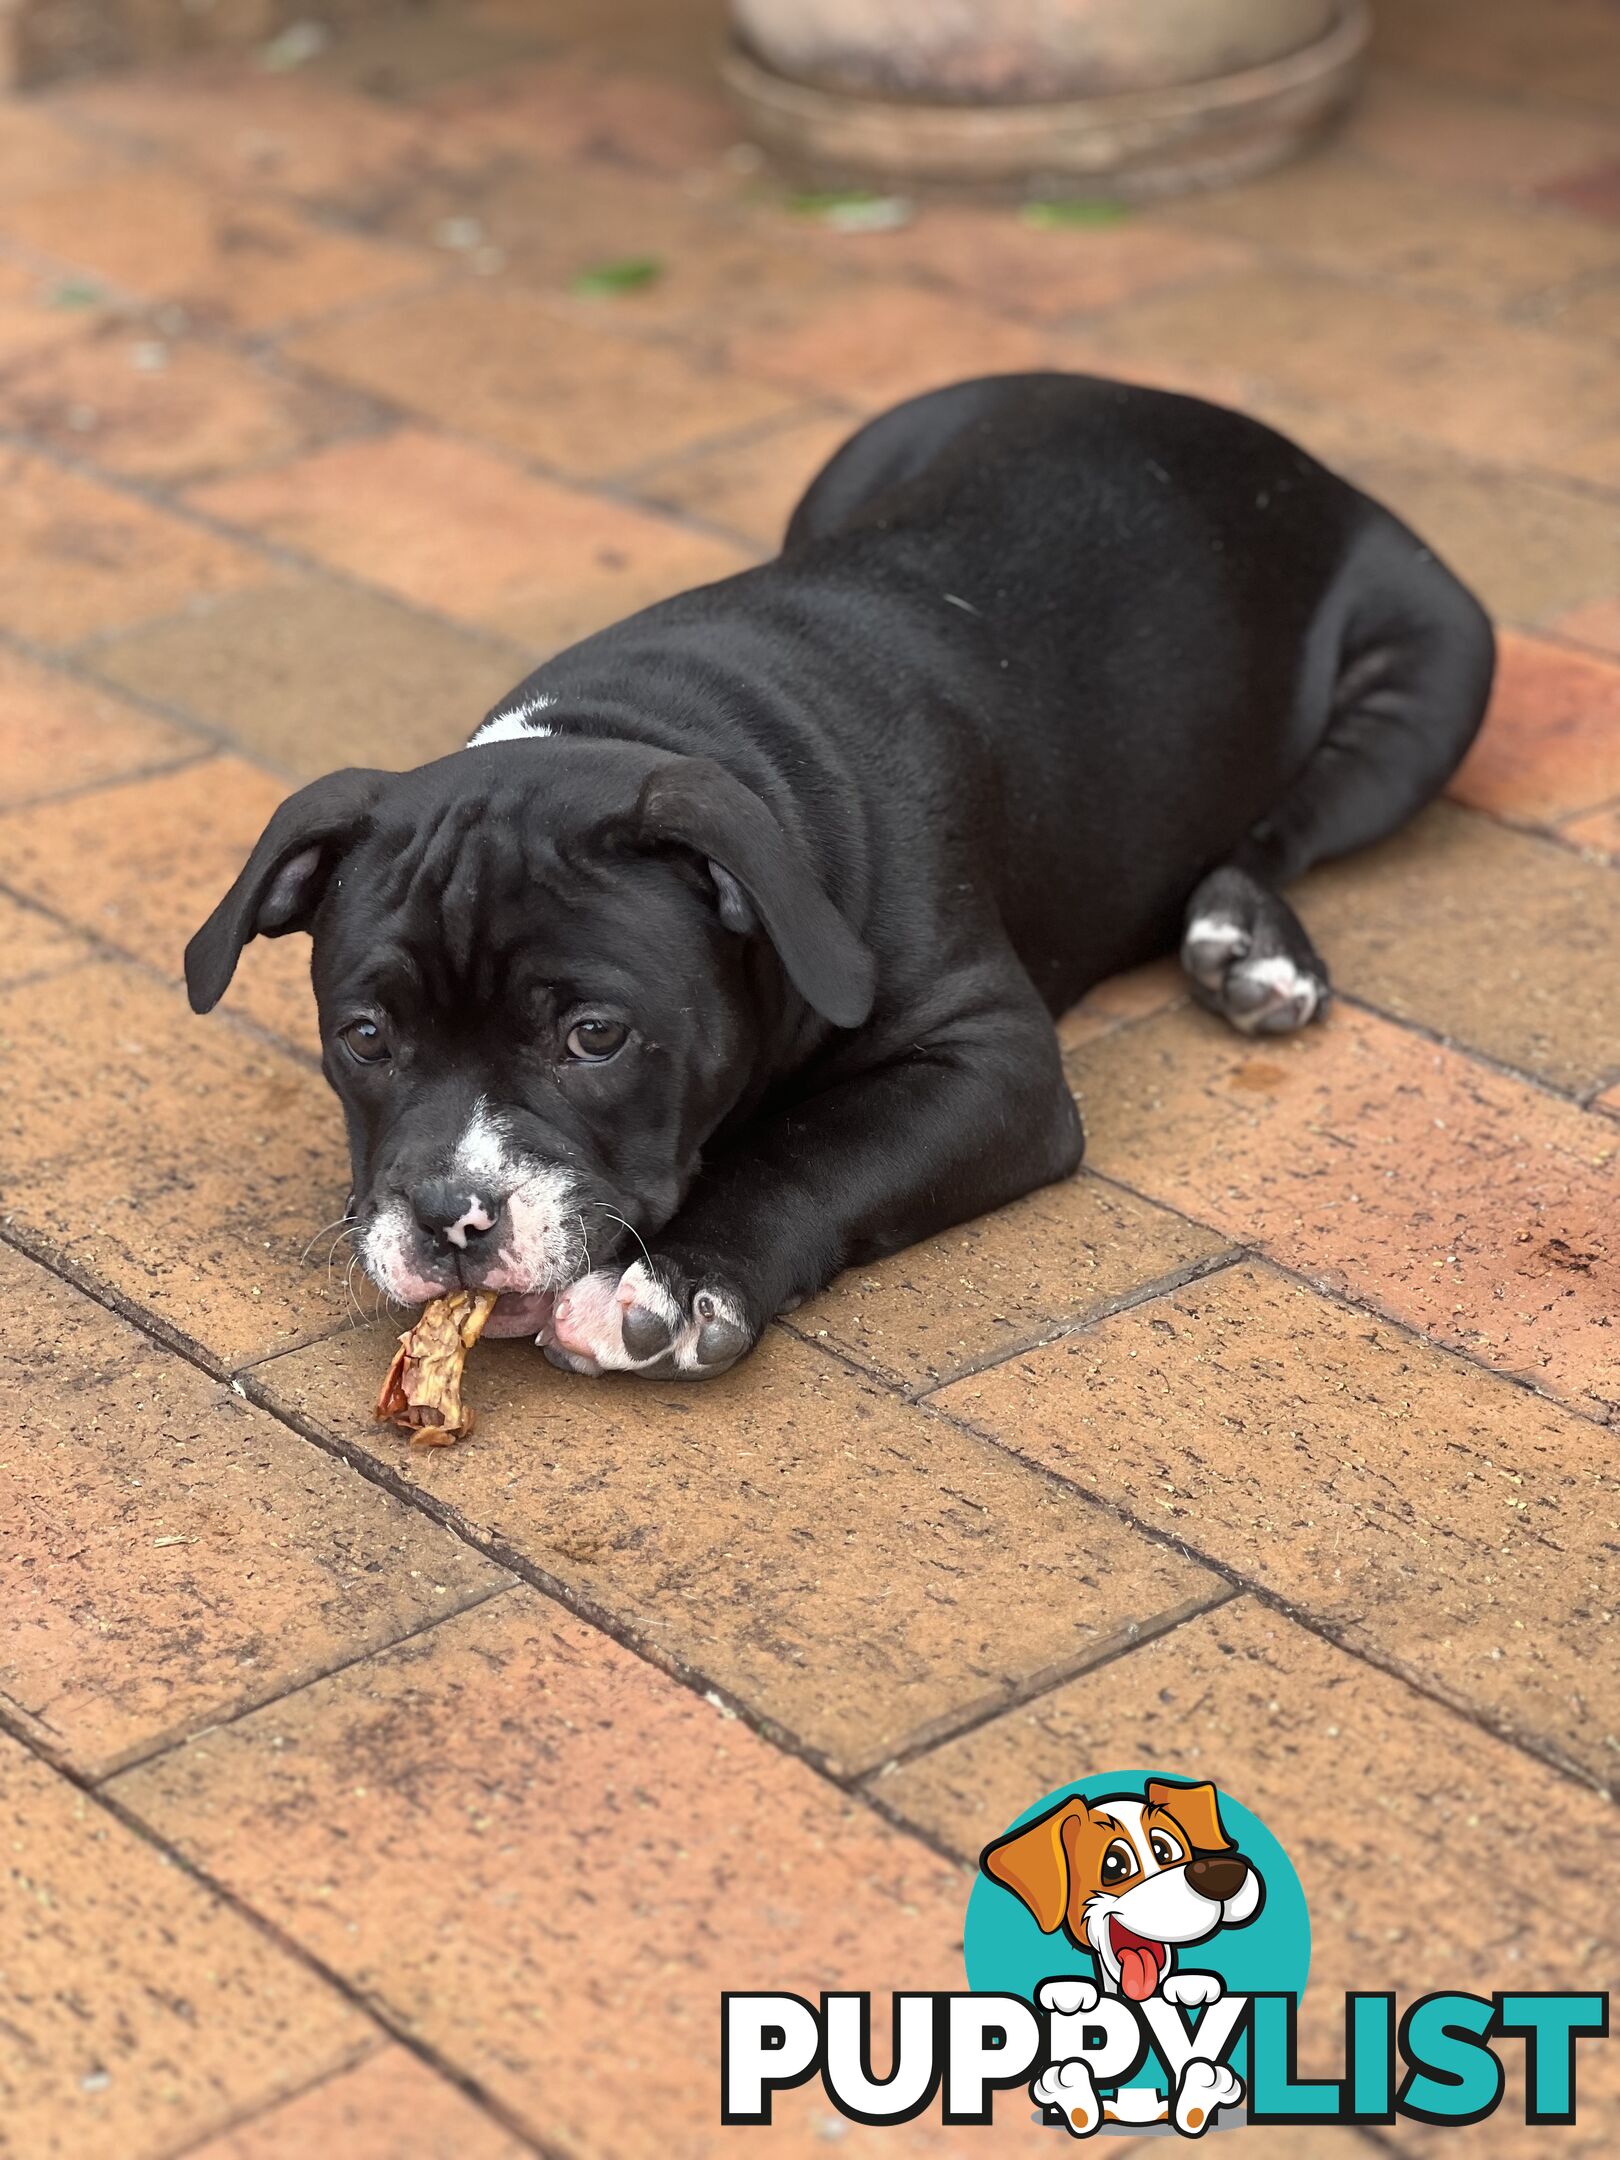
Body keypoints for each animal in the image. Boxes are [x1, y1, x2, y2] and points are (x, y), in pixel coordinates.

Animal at [183, 373, 1494, 1373]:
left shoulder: (992, 1065)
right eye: (363, 1038)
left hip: (1435, 664)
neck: (652, 726)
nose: (450, 1220)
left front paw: (676, 1283)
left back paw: (1248, 943)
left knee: (1282, 824)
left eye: (596, 1037)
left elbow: (816, 1150)